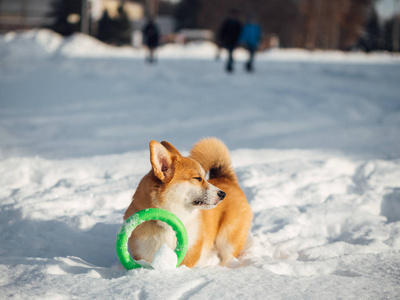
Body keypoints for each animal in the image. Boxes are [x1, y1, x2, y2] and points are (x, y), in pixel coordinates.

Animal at [123, 138, 252, 268]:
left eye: (203, 177)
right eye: (197, 178)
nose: (223, 195)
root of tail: (226, 179)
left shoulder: (191, 249)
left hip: (227, 240)